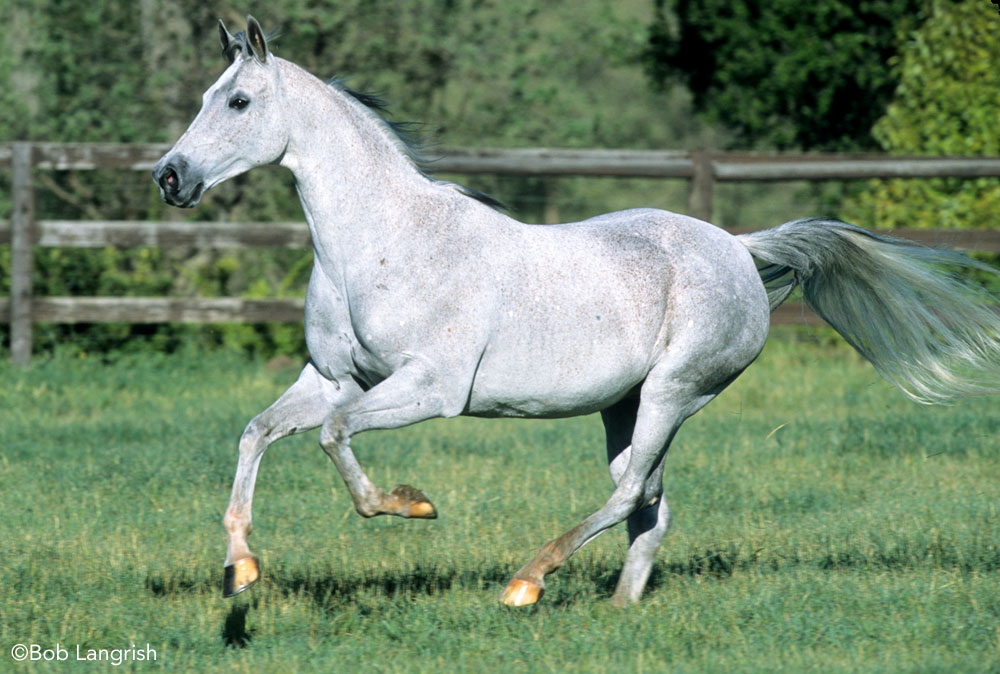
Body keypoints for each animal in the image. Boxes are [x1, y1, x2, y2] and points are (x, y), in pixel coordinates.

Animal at [150, 17, 1000, 604]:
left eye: (238, 100)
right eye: (206, 97)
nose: (170, 177)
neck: (388, 242)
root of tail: (737, 246)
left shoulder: (427, 389)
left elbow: (335, 439)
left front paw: (411, 505)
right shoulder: (331, 378)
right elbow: (258, 432)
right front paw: (240, 568)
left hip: (674, 393)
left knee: (628, 496)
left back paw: (528, 581)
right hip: (625, 407)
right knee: (650, 505)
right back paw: (619, 607)